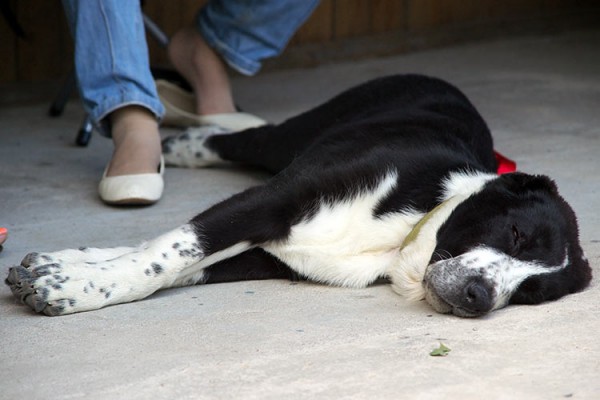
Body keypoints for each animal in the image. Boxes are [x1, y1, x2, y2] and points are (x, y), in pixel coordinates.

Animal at [4, 74, 592, 316]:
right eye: (516, 234)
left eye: (531, 294)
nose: (479, 297)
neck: (408, 231)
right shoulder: (276, 197)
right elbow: (169, 254)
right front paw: (72, 288)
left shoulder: (269, 256)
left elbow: (176, 264)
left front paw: (65, 276)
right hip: (294, 136)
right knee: (247, 137)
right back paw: (186, 143)